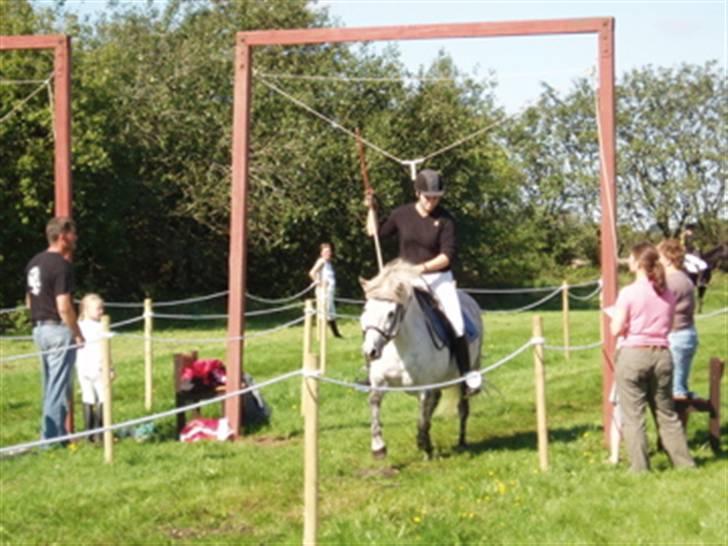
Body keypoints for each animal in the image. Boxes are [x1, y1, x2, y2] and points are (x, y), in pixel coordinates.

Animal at [360, 258, 484, 454]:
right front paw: (378, 446)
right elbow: (374, 403)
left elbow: (422, 414)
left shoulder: (424, 387)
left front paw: (425, 445)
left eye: (391, 313)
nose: (370, 352)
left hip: (466, 372)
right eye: (366, 309)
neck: (400, 345)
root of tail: (468, 298)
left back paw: (461, 441)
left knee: (462, 407)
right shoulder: (380, 381)